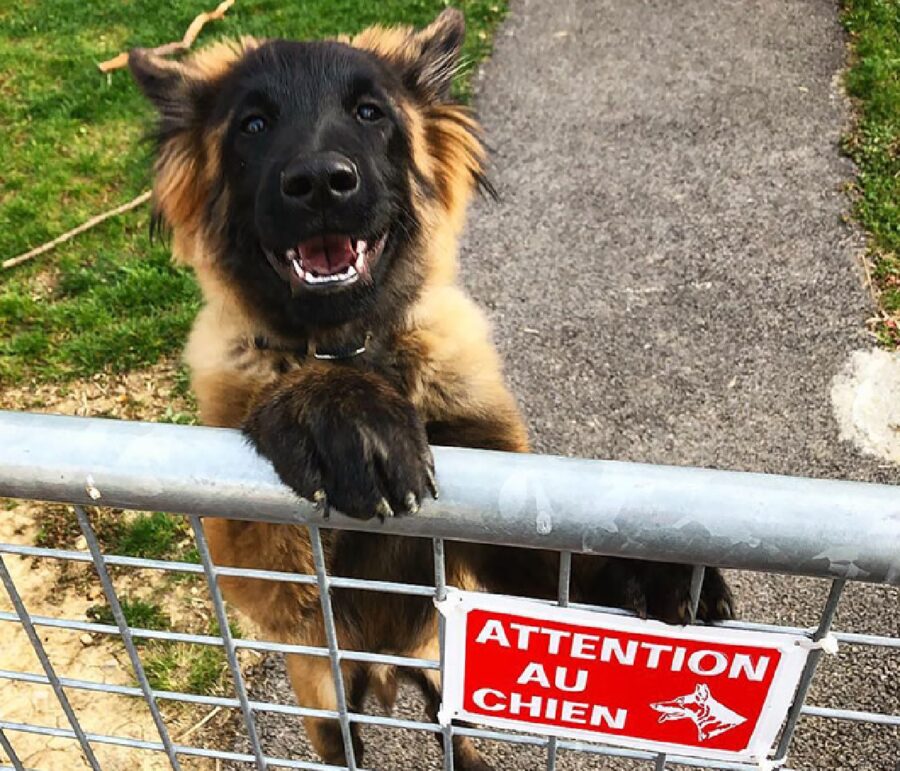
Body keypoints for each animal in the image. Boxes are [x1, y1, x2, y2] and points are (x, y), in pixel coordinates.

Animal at [128, 9, 732, 768]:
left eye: (370, 112)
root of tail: (391, 664)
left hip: (448, 682)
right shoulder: (261, 567)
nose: (320, 182)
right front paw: (339, 414)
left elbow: (563, 545)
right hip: (325, 695)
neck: (357, 349)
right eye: (253, 125)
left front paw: (660, 568)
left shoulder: (502, 517)